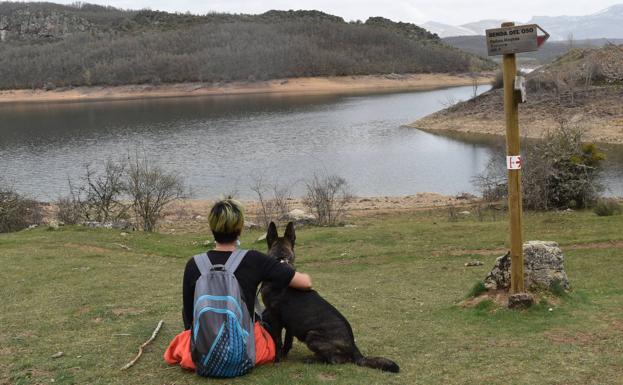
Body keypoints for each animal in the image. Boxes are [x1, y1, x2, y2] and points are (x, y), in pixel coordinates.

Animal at [262, 222, 400, 372]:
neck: (281, 261)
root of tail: (354, 348)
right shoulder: (289, 323)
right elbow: (287, 341)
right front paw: (284, 354)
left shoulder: (275, 317)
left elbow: (277, 340)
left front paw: (277, 358)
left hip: (312, 336)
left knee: (336, 360)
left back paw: (312, 359)